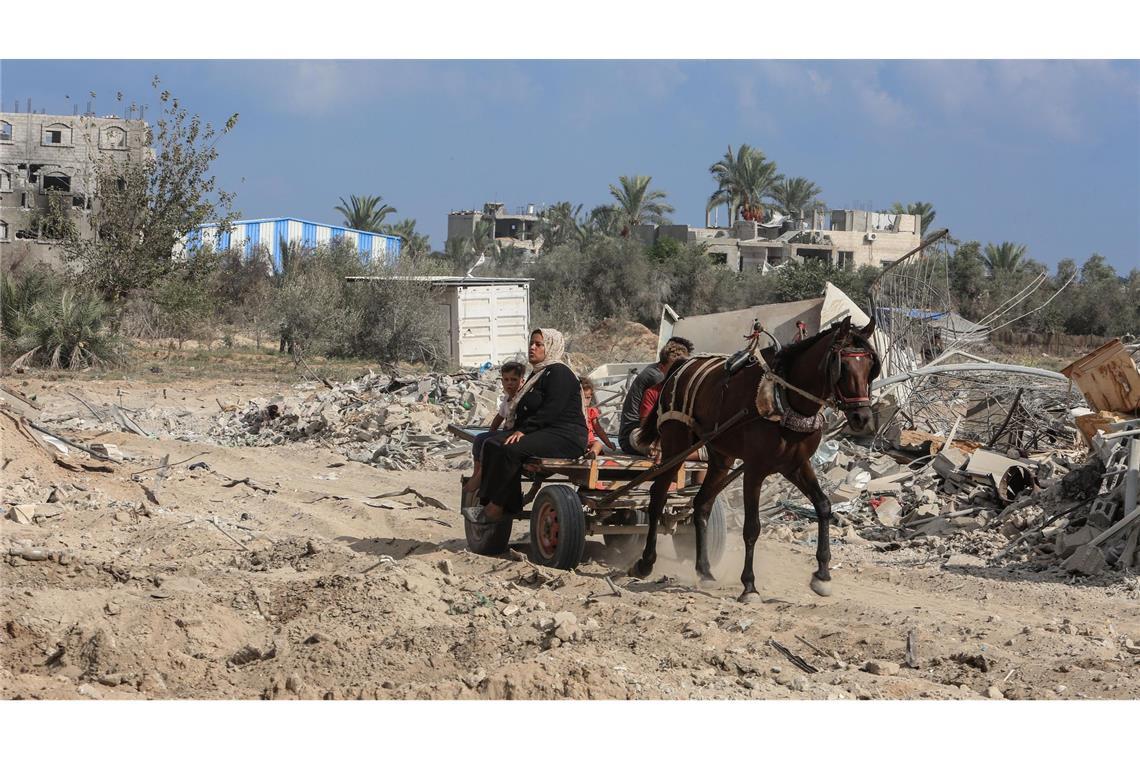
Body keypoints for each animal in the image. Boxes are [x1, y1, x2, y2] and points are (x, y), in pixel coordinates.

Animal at [633, 314, 880, 601]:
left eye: (870, 366)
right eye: (843, 365)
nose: (861, 417)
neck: (786, 399)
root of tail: (679, 367)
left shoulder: (796, 465)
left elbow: (824, 506)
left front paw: (822, 576)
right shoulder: (755, 469)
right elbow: (752, 527)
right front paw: (749, 585)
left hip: (720, 456)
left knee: (702, 504)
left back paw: (704, 570)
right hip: (676, 444)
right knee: (658, 495)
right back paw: (645, 562)